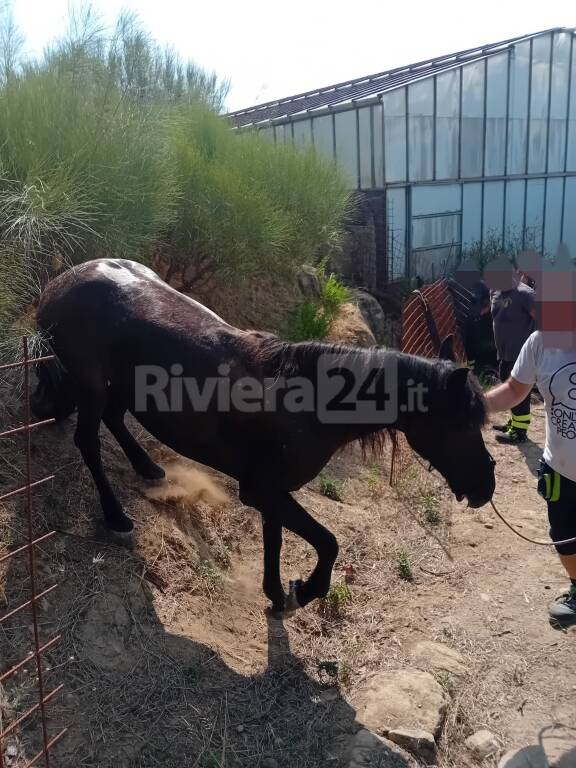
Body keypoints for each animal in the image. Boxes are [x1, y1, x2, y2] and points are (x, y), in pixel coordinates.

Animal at [30, 260, 496, 616]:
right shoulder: (262, 490)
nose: (485, 486)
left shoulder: (273, 492)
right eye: (460, 425)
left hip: (120, 385)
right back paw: (117, 518)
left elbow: (276, 540)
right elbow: (327, 541)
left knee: (115, 419)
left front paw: (276, 594)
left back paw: (147, 467)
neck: (309, 404)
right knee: (88, 443)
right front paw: (304, 591)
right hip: (91, 384)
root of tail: (60, 282)